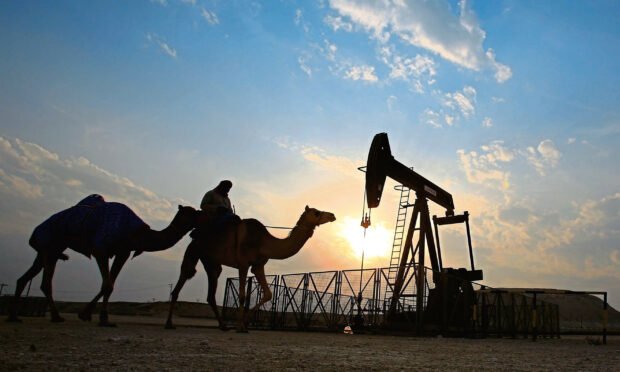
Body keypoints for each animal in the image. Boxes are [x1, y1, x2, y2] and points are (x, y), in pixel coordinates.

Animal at [166, 206, 334, 332]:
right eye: (316, 212)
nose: (332, 215)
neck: (264, 242)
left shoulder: (258, 265)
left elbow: (268, 294)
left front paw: (245, 323)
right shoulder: (243, 262)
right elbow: (242, 295)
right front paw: (240, 326)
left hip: (211, 261)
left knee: (211, 291)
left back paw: (223, 326)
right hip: (194, 250)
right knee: (182, 279)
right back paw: (169, 323)